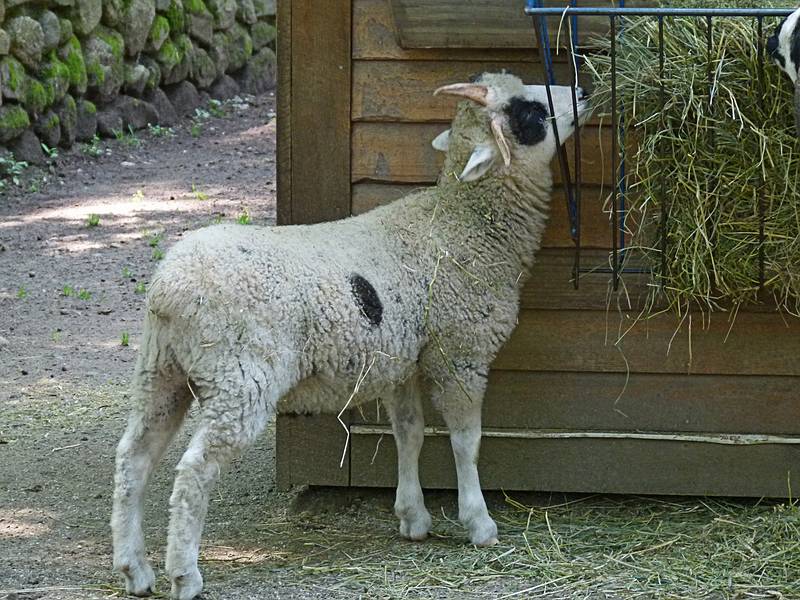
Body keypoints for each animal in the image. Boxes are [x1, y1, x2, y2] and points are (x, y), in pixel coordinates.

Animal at [111, 72, 588, 596]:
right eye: (528, 112)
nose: (584, 92)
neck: (459, 222)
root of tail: (169, 288)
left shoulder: (401, 360)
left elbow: (409, 433)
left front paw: (413, 517)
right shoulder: (460, 352)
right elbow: (466, 441)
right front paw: (478, 522)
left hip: (161, 372)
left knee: (133, 459)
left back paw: (135, 568)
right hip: (239, 377)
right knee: (194, 470)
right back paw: (184, 573)